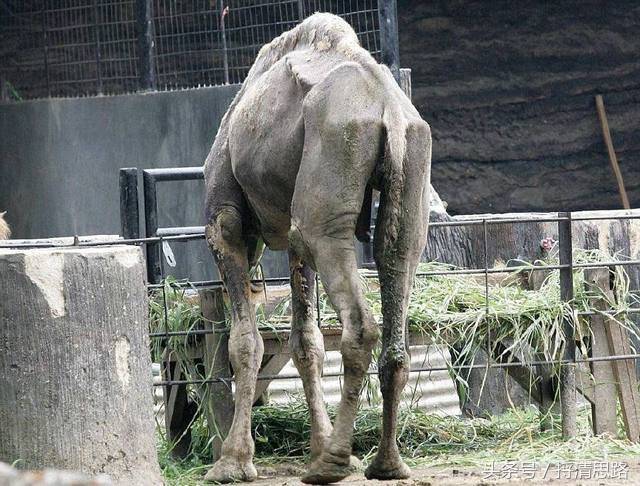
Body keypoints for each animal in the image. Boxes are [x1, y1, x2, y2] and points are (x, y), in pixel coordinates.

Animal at [204, 13, 436, 484]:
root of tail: (390, 111)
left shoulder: (226, 224)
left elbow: (246, 342)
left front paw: (233, 463)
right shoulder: (293, 241)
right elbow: (306, 342)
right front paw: (316, 444)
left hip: (329, 183)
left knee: (361, 327)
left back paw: (332, 465)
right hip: (408, 182)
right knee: (396, 270)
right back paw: (385, 463)